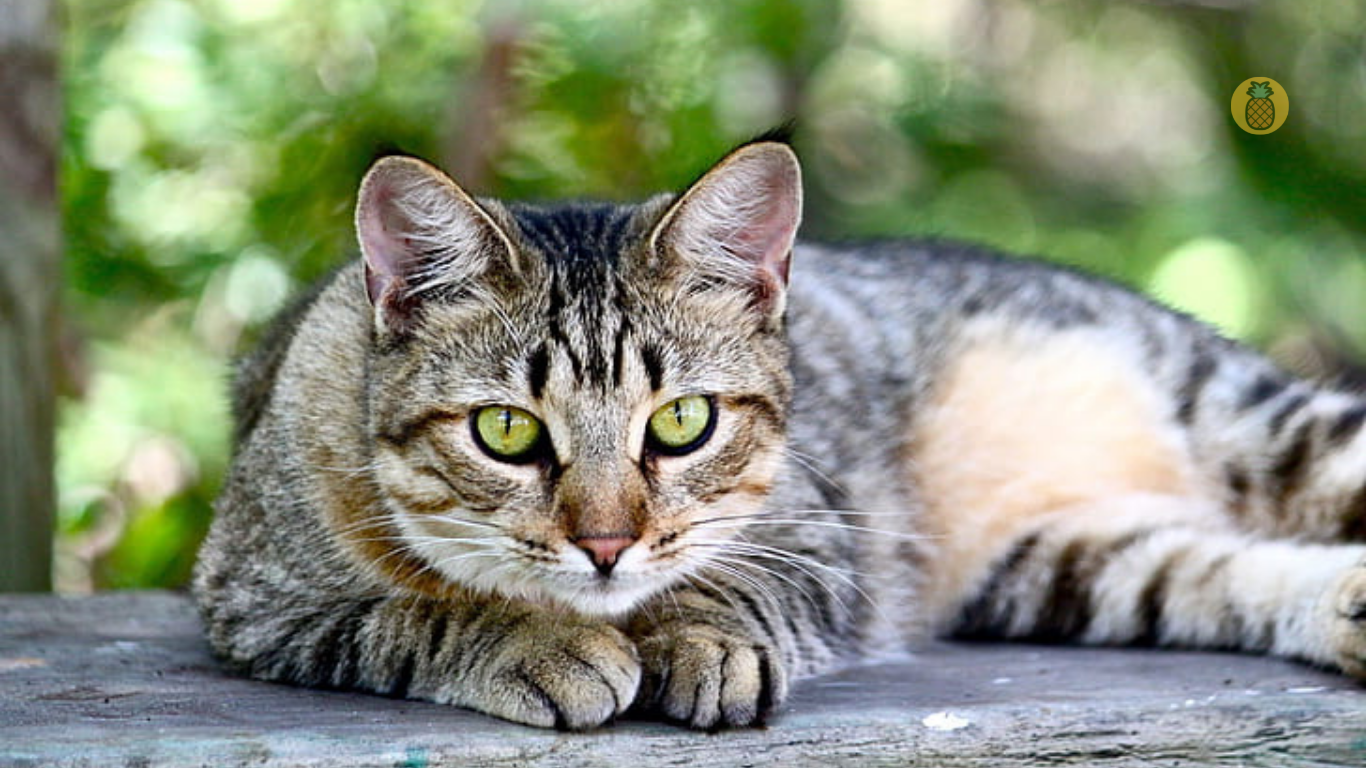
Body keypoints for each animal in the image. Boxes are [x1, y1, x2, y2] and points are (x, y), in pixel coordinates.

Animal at [192, 138, 1366, 727]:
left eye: (682, 421)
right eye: (506, 432)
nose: (606, 544)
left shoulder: (820, 529)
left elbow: (735, 583)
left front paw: (701, 638)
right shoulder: (257, 600)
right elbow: (411, 614)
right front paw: (540, 642)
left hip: (1249, 417)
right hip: (1069, 562)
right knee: (1213, 567)